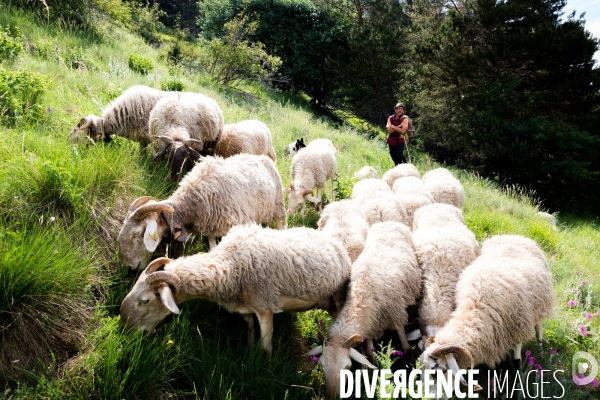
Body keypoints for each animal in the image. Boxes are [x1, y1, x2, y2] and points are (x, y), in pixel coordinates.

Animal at [118, 155, 288, 270]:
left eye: (136, 233)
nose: (129, 268)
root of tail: (263, 157)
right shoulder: (211, 228)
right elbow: (213, 248)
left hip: (279, 206)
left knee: (282, 224)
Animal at [120, 225, 352, 354]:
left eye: (145, 300)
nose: (127, 330)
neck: (229, 265)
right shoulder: (245, 309)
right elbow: (249, 331)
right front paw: (248, 354)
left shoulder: (264, 307)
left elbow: (265, 348)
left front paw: (264, 367)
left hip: (338, 298)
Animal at [304, 223, 422, 398]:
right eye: (322, 366)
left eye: (347, 367)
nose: (332, 397)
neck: (361, 298)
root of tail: (388, 222)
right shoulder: (370, 325)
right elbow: (370, 355)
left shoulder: (397, 315)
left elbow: (406, 348)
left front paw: (414, 370)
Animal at [420, 234, 556, 384]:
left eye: (438, 371)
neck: (476, 309)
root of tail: (513, 235)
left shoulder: (519, 324)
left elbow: (517, 356)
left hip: (540, 303)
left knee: (539, 327)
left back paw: (541, 348)